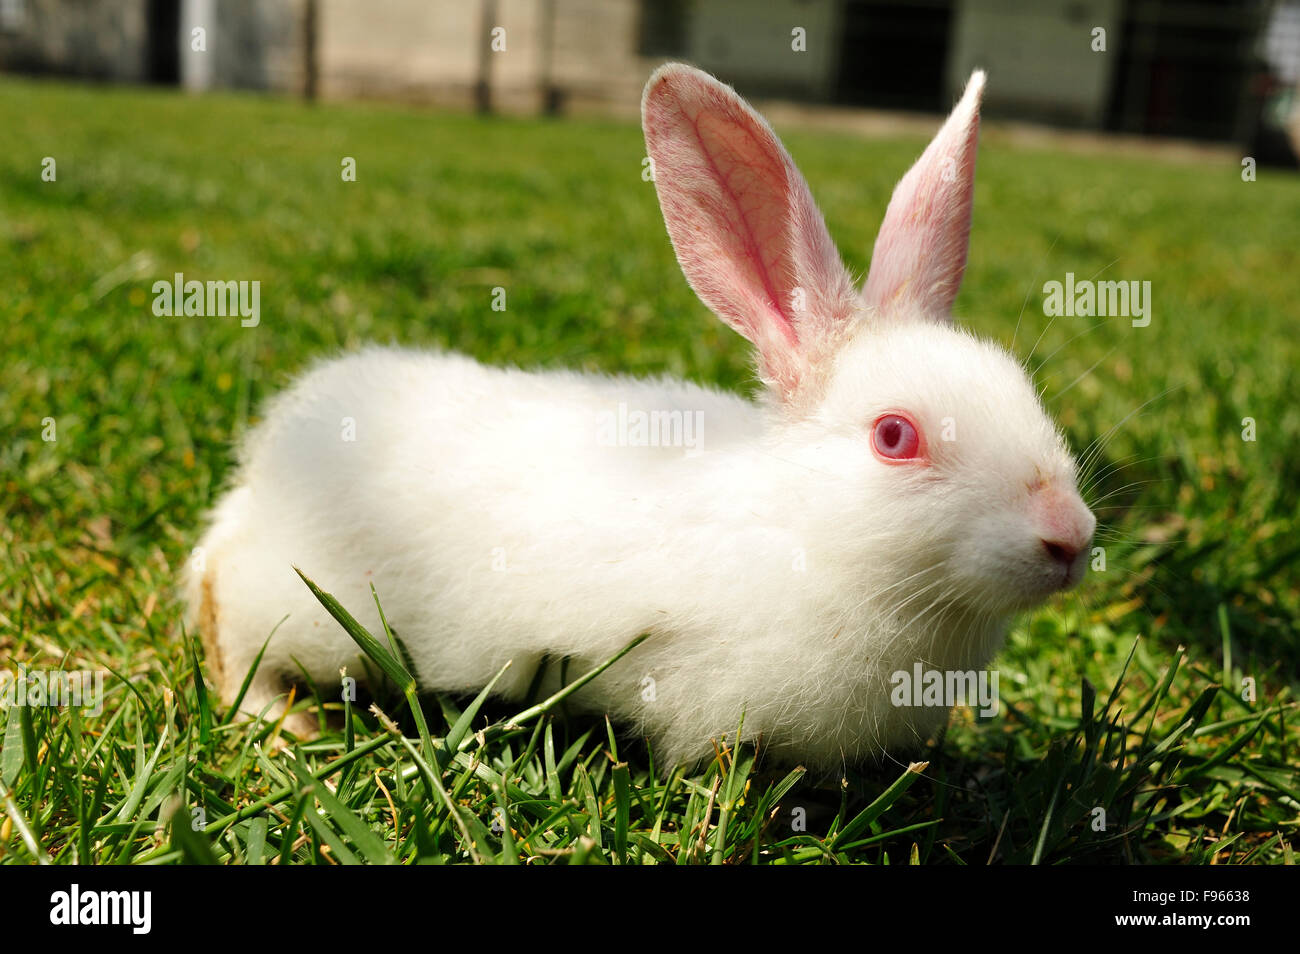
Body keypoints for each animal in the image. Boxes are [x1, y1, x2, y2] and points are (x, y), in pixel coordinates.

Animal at [184, 63, 1095, 772]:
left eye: (1023, 389)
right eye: (894, 437)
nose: (1071, 537)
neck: (805, 527)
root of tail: (260, 476)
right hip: (295, 608)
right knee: (228, 625)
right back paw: (283, 724)